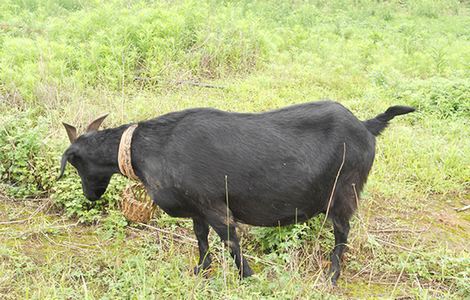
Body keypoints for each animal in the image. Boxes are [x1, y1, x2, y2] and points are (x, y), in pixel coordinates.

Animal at [58, 101, 414, 284]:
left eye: (76, 163)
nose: (90, 196)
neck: (148, 148)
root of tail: (367, 126)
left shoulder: (215, 205)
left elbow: (230, 242)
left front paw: (247, 278)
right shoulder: (197, 207)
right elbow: (201, 239)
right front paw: (201, 270)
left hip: (343, 192)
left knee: (342, 232)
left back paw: (332, 275)